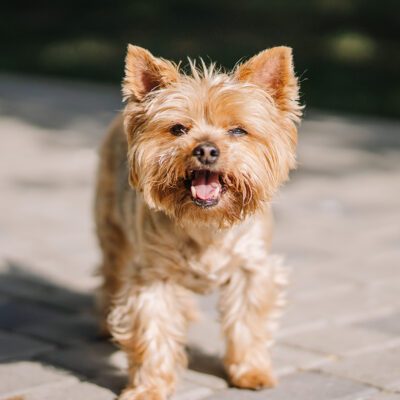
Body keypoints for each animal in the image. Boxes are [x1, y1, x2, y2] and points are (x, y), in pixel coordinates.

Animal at [95, 44, 302, 400]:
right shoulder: (153, 277)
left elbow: (248, 321)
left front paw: (251, 371)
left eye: (238, 130)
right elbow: (153, 329)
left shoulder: (252, 269)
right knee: (112, 271)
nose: (206, 150)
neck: (205, 223)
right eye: (178, 129)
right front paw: (149, 387)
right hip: (111, 228)